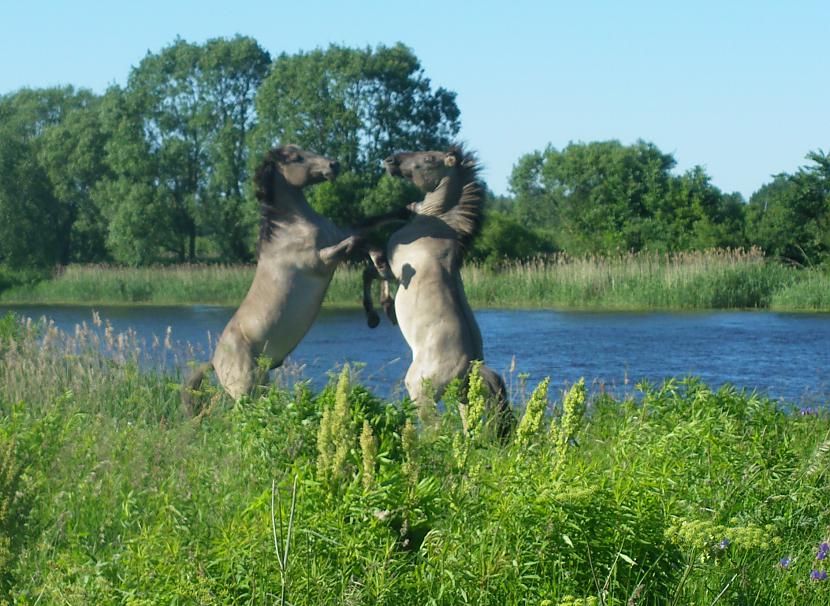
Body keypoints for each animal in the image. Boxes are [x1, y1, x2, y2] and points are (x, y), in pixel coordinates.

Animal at [184, 146, 396, 414]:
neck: (292, 229)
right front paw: (381, 265)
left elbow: (371, 226)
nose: (333, 165)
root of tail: (214, 361)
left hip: (260, 384)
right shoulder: (322, 260)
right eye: (296, 157)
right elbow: (359, 241)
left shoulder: (340, 236)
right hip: (246, 390)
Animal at [366, 145, 512, 434]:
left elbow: (372, 264)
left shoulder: (396, 270)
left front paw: (378, 314)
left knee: (435, 430)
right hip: (464, 400)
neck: (437, 224)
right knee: (467, 428)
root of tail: (471, 368)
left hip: (420, 393)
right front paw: (384, 312)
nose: (391, 160)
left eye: (428, 159)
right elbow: (371, 273)